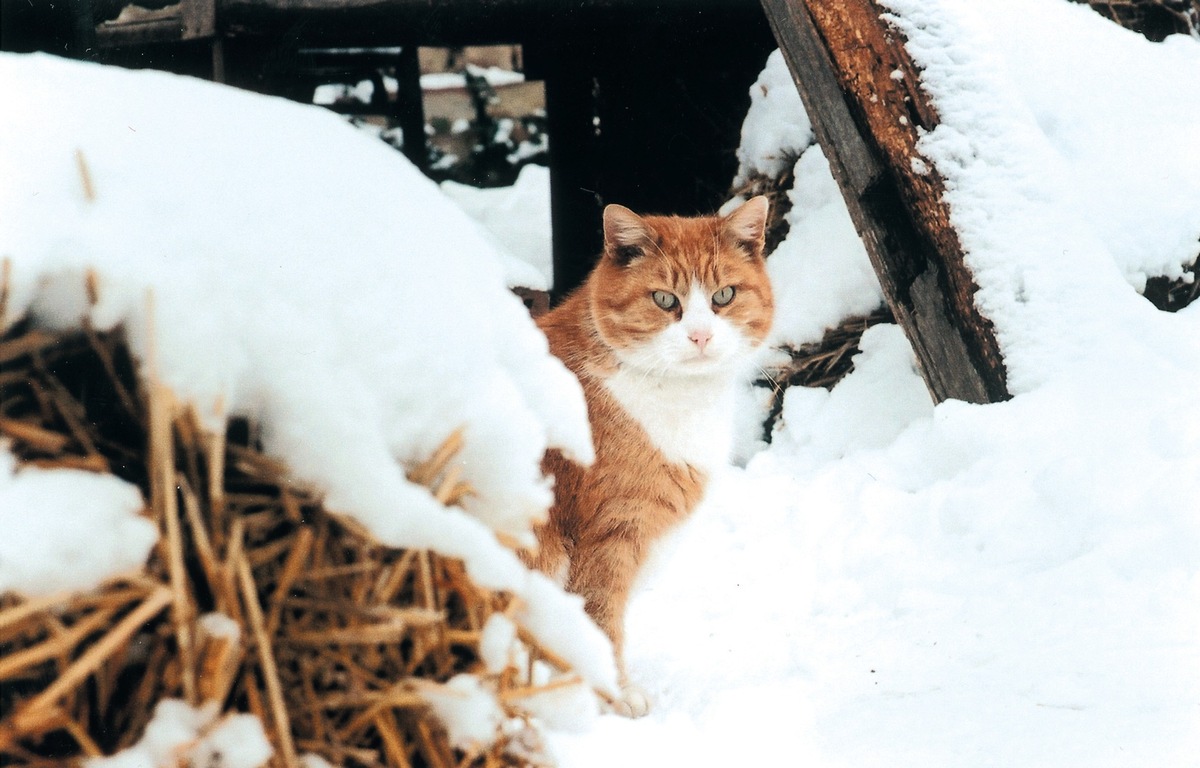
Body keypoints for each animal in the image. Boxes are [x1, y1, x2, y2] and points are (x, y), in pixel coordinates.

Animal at [528, 196, 772, 715]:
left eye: (724, 296)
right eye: (665, 300)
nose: (700, 336)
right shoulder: (610, 533)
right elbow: (600, 619)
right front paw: (615, 697)